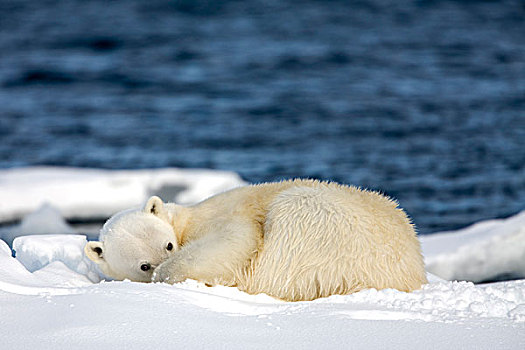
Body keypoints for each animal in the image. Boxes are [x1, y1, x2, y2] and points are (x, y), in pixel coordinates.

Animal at [85, 180, 426, 300]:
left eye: (167, 245)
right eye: (143, 265)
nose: (160, 263)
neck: (184, 223)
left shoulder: (227, 216)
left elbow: (237, 238)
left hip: (314, 221)